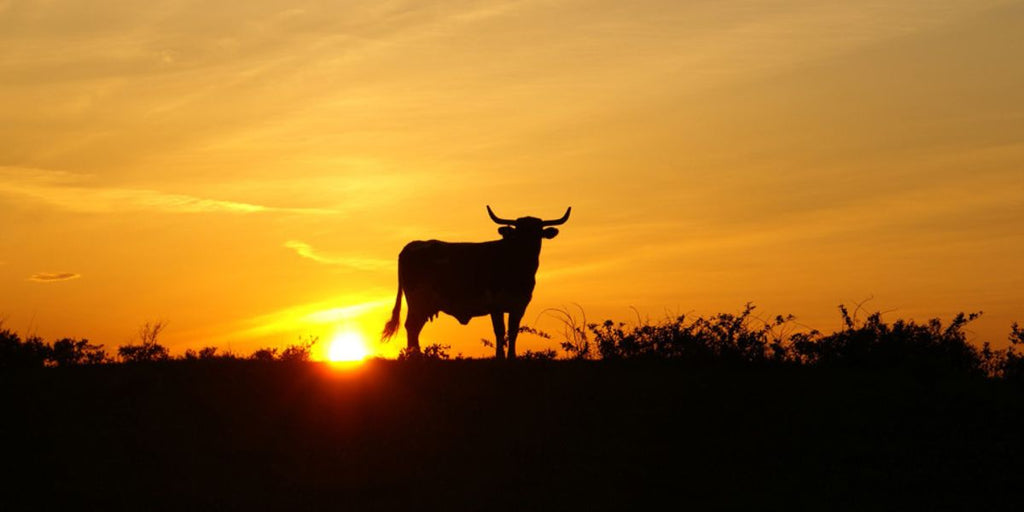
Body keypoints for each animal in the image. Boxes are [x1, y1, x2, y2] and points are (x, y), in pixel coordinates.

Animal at [385, 205, 573, 358]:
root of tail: (411, 246)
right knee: (412, 327)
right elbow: (500, 331)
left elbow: (513, 331)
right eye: (518, 233)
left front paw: (512, 357)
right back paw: (414, 356)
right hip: (418, 300)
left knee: (414, 327)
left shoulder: (519, 305)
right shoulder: (495, 305)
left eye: (537, 233)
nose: (527, 249)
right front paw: (499, 357)